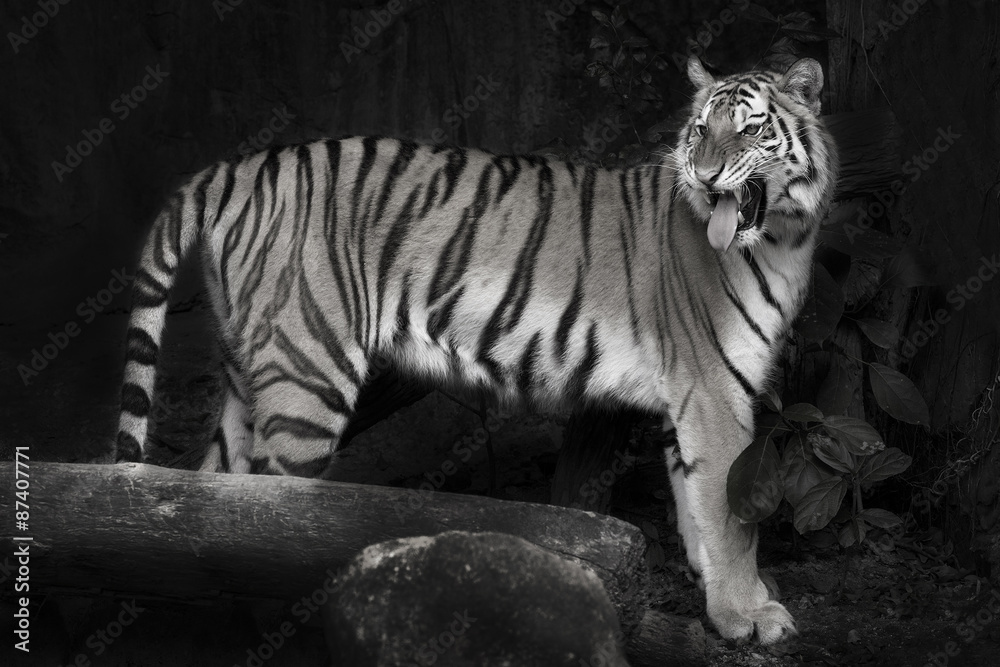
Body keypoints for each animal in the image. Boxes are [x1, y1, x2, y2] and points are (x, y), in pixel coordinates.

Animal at [115, 56, 837, 644]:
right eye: (699, 130)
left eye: (748, 130)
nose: (704, 173)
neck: (783, 238)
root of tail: (236, 167)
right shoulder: (713, 389)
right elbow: (729, 513)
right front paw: (749, 616)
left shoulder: (687, 398)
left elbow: (696, 505)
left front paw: (721, 596)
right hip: (306, 375)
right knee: (268, 512)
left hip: (252, 371)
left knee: (213, 503)